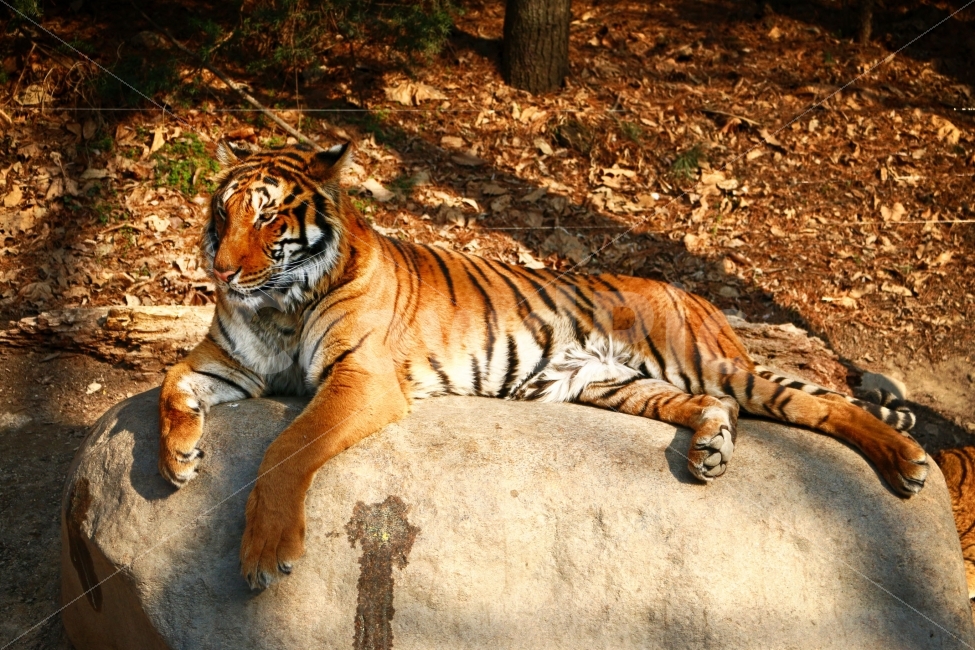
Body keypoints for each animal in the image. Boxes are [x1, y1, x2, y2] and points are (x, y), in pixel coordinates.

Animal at [158, 142, 929, 591]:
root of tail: (692, 292)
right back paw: (710, 451)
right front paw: (178, 459)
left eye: (267, 219)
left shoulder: (361, 378)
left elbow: (285, 448)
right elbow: (168, 385)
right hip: (614, 384)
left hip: (703, 362)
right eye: (222, 213)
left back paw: (907, 461)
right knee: (721, 408)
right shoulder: (227, 362)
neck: (278, 304)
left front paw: (265, 553)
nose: (219, 271)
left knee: (819, 402)